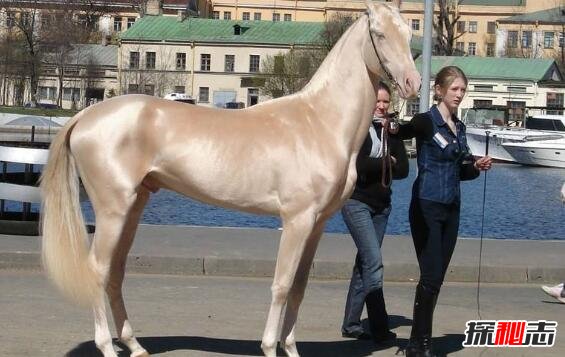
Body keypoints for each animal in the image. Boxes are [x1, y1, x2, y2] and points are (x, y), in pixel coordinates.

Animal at [40, 1, 418, 354]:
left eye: (408, 32)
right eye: (379, 34)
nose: (412, 83)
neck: (319, 121)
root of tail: (86, 115)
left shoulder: (318, 224)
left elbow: (299, 287)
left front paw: (290, 347)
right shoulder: (297, 220)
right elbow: (281, 285)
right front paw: (269, 347)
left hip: (133, 208)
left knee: (115, 272)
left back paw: (134, 345)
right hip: (113, 210)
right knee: (98, 270)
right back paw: (107, 345)